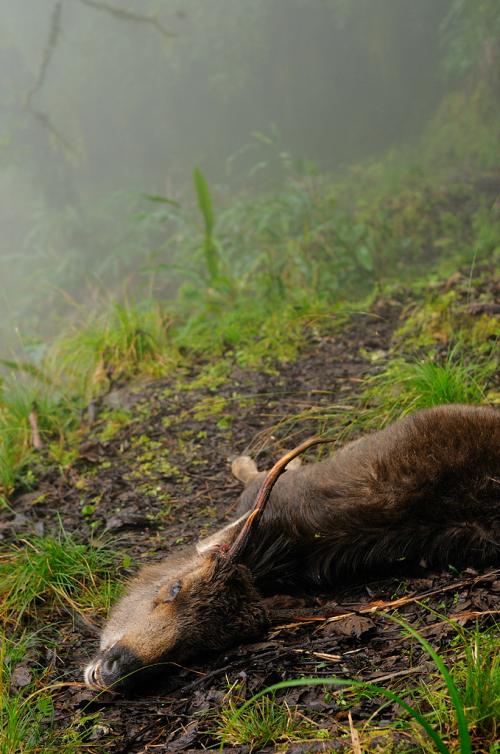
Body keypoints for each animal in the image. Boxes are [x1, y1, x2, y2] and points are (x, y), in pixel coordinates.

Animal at [84, 402, 498, 692]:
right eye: (173, 590)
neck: (277, 560)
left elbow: (257, 469)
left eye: (200, 647)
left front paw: (249, 460)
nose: (116, 670)